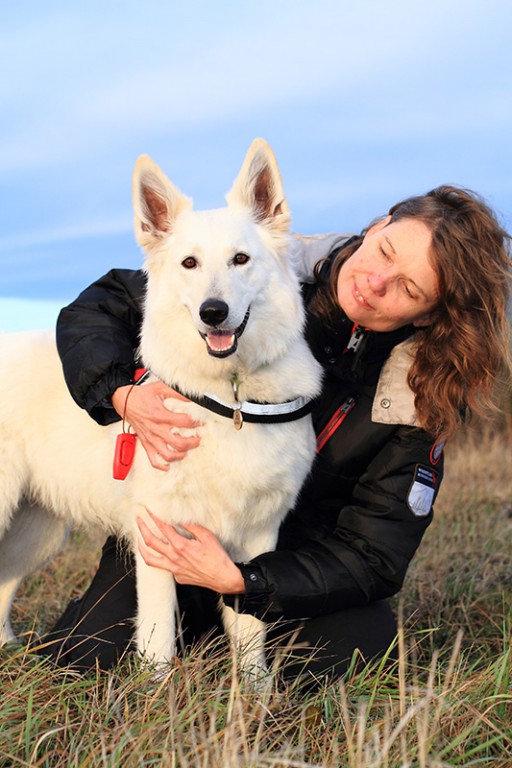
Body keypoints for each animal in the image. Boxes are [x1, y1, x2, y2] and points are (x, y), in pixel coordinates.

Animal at [0, 140, 322, 680]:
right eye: (189, 263)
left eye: (240, 259)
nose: (213, 312)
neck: (229, 396)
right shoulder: (158, 541)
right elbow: (157, 640)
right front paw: (155, 695)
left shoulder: (256, 541)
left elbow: (250, 640)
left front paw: (255, 699)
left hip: (37, 533)